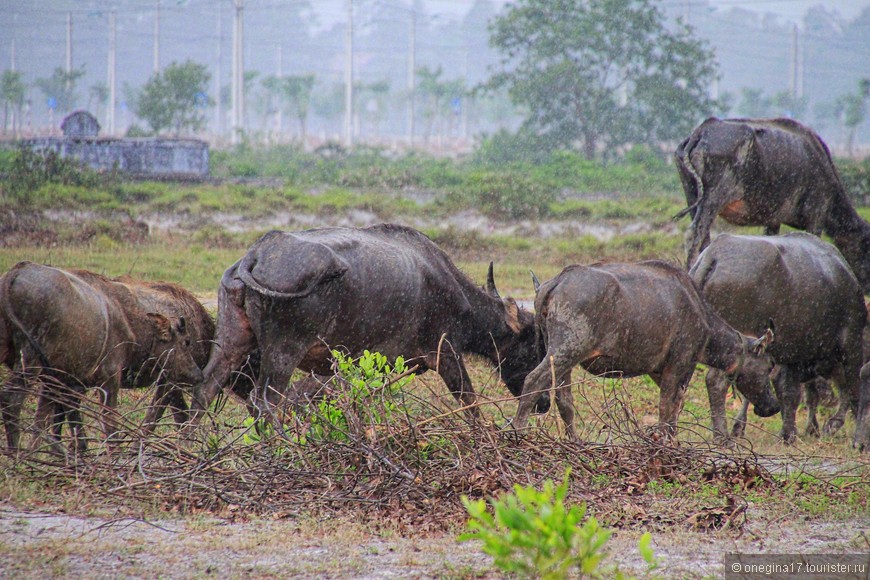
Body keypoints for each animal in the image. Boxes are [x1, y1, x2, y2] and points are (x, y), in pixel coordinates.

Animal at [0, 262, 208, 448]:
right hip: (29, 360)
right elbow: (108, 423)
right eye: (186, 341)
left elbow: (49, 420)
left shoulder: (62, 381)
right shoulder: (108, 378)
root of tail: (14, 274)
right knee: (11, 399)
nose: (198, 374)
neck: (129, 320)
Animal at [191, 225, 548, 422]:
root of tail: (255, 254)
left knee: (205, 389)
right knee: (264, 402)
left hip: (233, 338)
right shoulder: (445, 352)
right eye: (533, 348)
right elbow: (470, 403)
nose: (543, 404)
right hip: (284, 350)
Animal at [516, 258, 780, 440]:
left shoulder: (657, 369)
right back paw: (517, 431)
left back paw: (575, 441)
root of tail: (555, 283)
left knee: (564, 399)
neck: (706, 328)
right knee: (532, 380)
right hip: (568, 348)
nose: (773, 405)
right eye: (769, 366)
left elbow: (672, 407)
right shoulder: (682, 362)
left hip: (559, 353)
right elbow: (669, 407)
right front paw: (666, 441)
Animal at [676, 117, 870, 292]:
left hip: (693, 195)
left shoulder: (773, 220)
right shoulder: (816, 214)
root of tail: (701, 131)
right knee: (694, 233)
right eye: (866, 246)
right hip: (713, 198)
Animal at [692, 233, 868, 450]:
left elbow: (791, 392)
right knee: (716, 381)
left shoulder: (791, 357)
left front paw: (790, 433)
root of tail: (714, 254)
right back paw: (722, 437)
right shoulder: (850, 343)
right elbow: (853, 391)